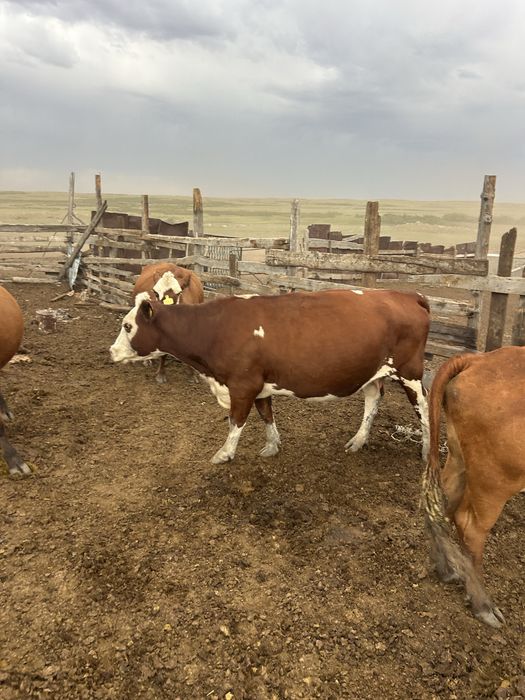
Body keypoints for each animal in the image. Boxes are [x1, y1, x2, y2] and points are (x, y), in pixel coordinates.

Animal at [111, 282, 430, 463]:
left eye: (127, 325)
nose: (112, 351)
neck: (215, 329)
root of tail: (407, 295)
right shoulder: (260, 382)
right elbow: (266, 414)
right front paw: (272, 445)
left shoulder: (243, 384)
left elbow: (236, 421)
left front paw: (224, 454)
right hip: (374, 371)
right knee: (373, 398)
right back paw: (358, 440)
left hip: (410, 371)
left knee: (424, 408)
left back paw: (427, 452)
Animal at [422, 347, 525, 628]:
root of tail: (479, 359)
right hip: (496, 479)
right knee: (470, 527)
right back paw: (483, 605)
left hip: (460, 459)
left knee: (440, 507)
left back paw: (447, 569)